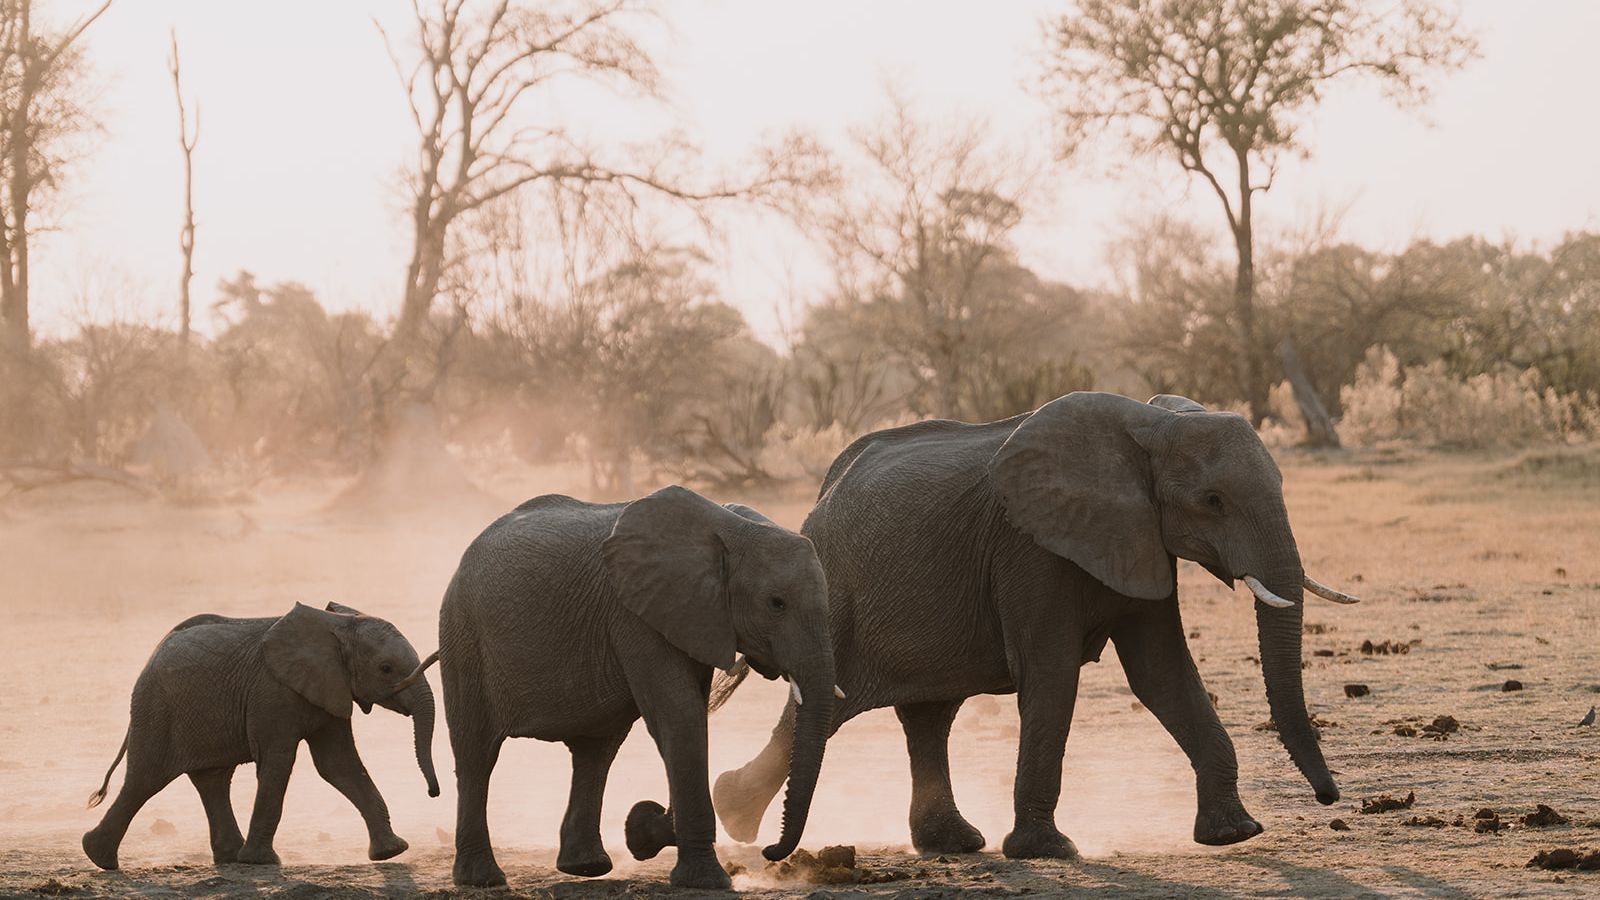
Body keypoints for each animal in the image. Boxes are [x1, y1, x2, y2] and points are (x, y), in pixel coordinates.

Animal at [82, 602, 439, 870]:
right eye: (385, 669)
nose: (433, 793)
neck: (338, 625)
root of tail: (155, 652)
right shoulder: (273, 692)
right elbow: (279, 762)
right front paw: (263, 863)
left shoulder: (329, 688)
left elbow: (338, 765)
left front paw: (392, 851)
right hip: (157, 709)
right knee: (145, 779)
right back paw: (99, 858)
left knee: (212, 780)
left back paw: (229, 859)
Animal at [438, 485, 838, 889]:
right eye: (776, 603)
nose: (770, 850)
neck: (733, 527)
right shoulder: (636, 614)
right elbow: (680, 714)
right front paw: (705, 879)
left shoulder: (696, 616)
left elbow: (689, 715)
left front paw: (645, 829)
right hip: (463, 636)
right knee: (477, 755)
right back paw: (483, 879)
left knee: (596, 752)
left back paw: (587, 867)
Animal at [712, 391, 1360, 858]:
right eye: (1213, 501)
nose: (1328, 797)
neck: (1150, 426)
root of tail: (824, 493)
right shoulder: (1029, 548)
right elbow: (1051, 675)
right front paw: (1049, 852)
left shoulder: (1143, 539)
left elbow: (1162, 675)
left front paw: (1235, 834)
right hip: (837, 597)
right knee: (829, 707)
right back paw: (735, 817)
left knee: (925, 716)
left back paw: (946, 843)